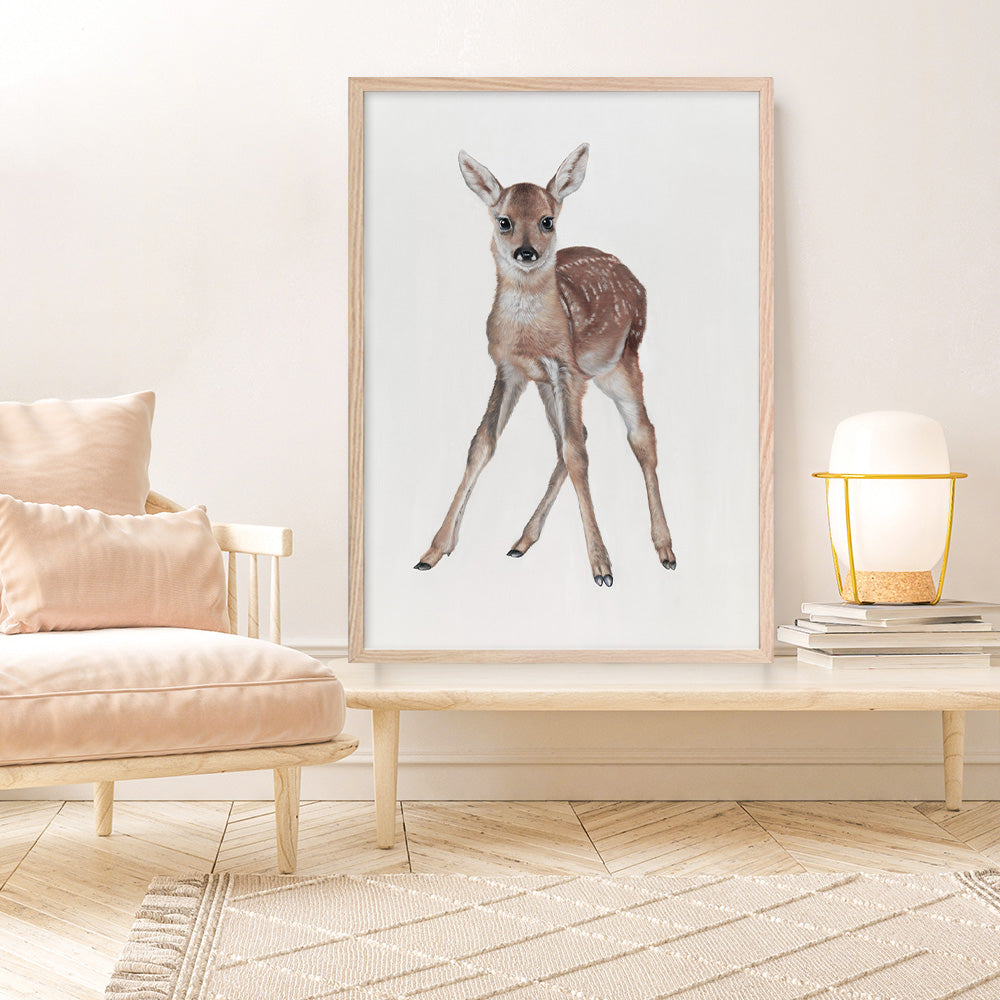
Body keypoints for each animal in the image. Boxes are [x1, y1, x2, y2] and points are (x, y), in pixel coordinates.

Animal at [414, 143, 676, 587]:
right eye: (504, 221)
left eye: (546, 220)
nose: (527, 252)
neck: (530, 334)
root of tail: (637, 282)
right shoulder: (511, 369)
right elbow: (482, 444)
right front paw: (434, 550)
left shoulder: (565, 368)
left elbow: (577, 455)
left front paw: (602, 567)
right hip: (552, 385)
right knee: (574, 438)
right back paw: (521, 541)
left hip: (621, 364)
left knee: (641, 436)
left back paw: (665, 549)